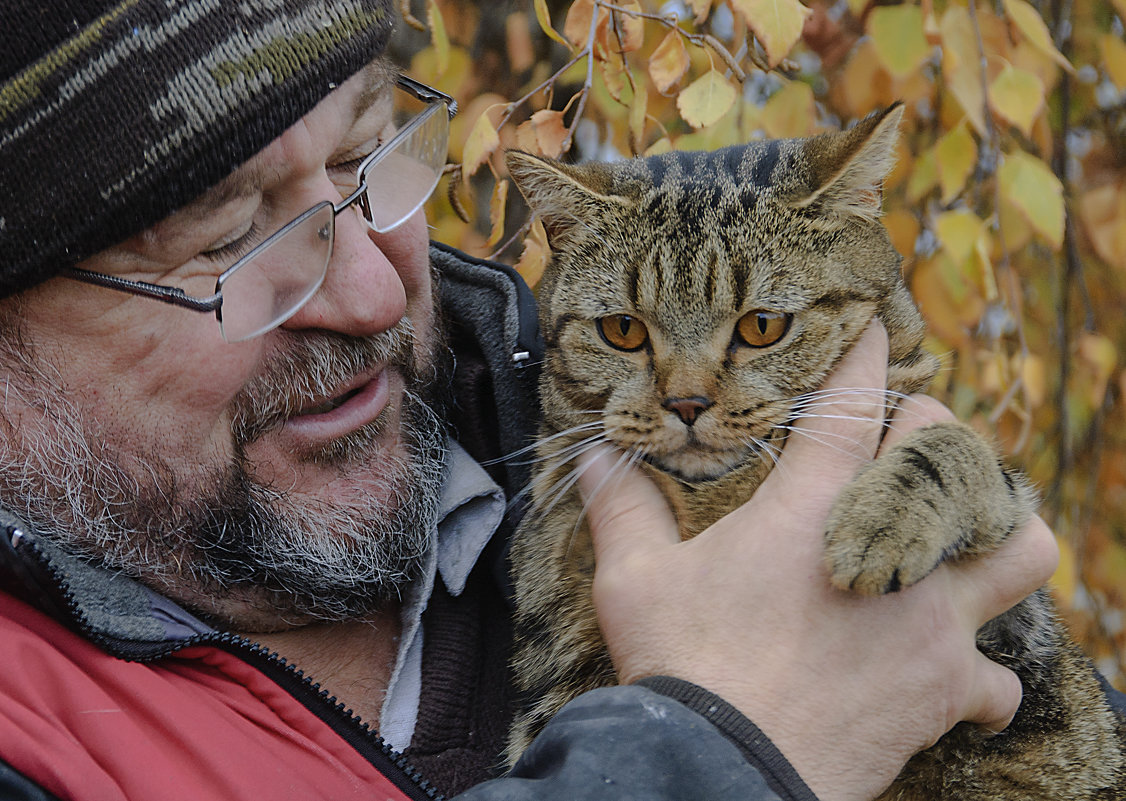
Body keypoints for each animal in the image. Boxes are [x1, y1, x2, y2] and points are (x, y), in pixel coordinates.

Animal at [502, 103, 1126, 797]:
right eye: (622, 331)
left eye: (761, 327)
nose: (686, 404)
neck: (715, 498)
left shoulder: (1014, 615)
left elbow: (954, 448)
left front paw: (883, 522)